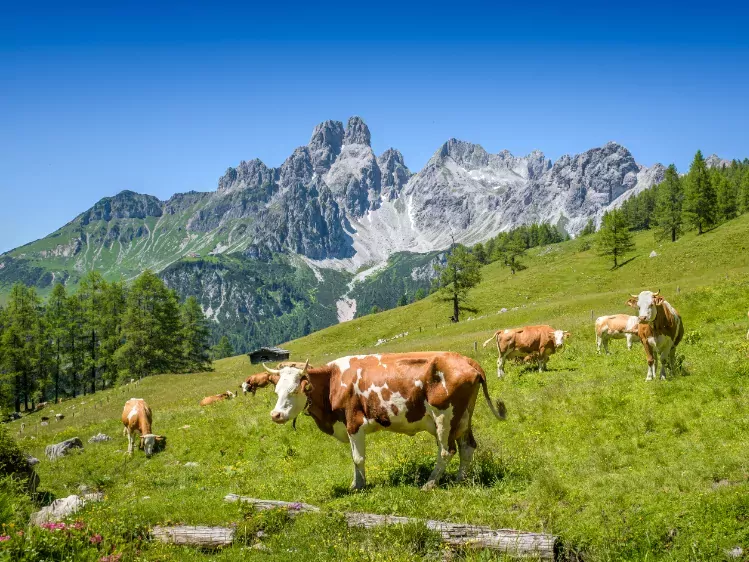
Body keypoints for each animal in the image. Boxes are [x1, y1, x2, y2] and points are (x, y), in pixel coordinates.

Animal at [264, 353, 506, 491]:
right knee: (467, 447)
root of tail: (466, 360)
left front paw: (359, 486)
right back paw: (459, 480)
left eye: (294, 390)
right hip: (462, 418)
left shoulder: (354, 423)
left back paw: (429, 484)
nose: (275, 415)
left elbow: (358, 458)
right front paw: (356, 484)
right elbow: (354, 459)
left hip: (444, 417)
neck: (333, 381)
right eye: (276, 391)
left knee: (447, 451)